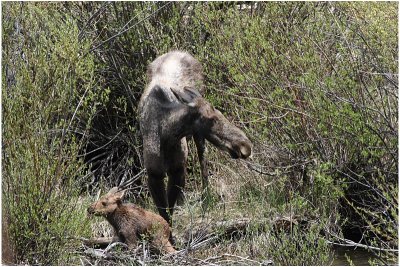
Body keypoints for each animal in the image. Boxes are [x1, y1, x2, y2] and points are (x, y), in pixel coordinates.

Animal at [139, 51, 252, 225]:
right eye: (210, 119)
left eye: (219, 112)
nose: (245, 145)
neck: (166, 136)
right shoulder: (154, 174)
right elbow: (165, 215)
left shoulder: (177, 169)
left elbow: (169, 211)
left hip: (197, 138)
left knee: (202, 160)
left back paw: (206, 199)